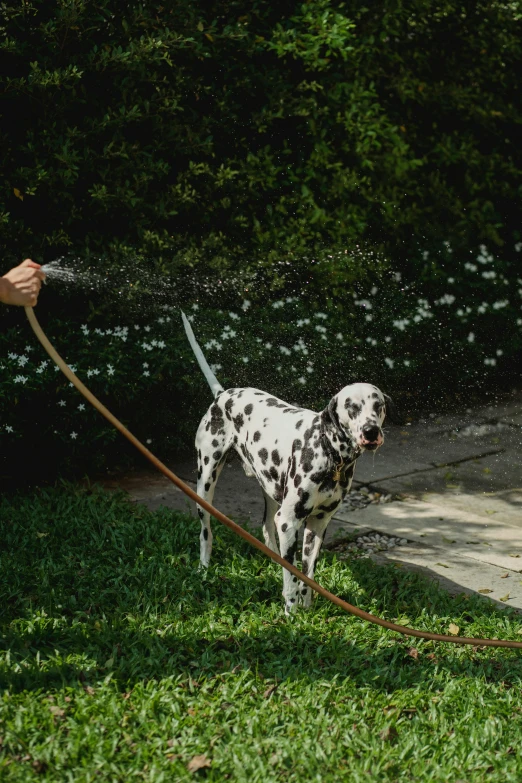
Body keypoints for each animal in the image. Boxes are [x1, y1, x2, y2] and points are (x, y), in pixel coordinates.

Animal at [180, 312, 390, 612]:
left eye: (378, 405)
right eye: (352, 406)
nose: (371, 431)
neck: (329, 452)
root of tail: (222, 395)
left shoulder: (318, 524)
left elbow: (307, 574)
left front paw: (306, 607)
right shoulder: (289, 522)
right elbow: (292, 575)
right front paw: (291, 611)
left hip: (271, 496)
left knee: (268, 533)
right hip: (205, 486)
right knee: (206, 533)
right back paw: (204, 567)